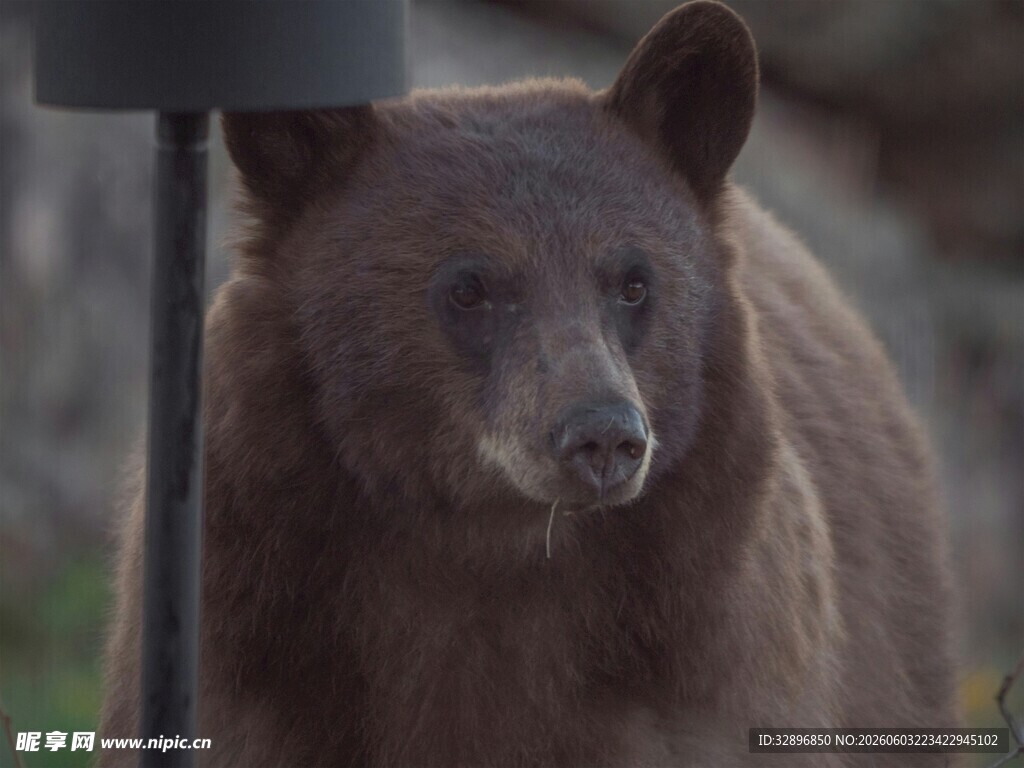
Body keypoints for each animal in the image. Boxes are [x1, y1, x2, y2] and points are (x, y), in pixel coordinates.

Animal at [99, 2, 959, 766]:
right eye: (469, 287)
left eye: (634, 282)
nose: (605, 436)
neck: (493, 558)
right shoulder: (250, 654)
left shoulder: (705, 679)